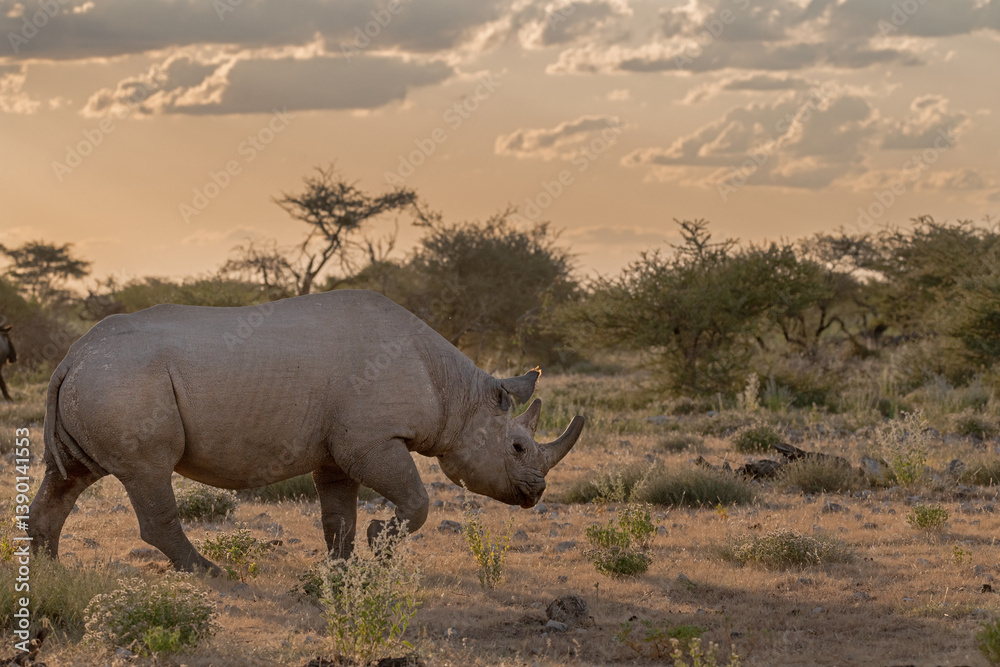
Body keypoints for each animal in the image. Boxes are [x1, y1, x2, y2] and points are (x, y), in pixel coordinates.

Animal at [29, 290, 584, 573]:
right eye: (517, 446)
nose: (537, 492)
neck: (457, 395)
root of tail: (72, 357)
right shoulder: (372, 440)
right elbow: (417, 500)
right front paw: (381, 543)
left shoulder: (340, 450)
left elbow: (338, 515)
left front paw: (340, 568)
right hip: (123, 380)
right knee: (147, 472)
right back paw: (211, 573)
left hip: (100, 380)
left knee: (69, 477)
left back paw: (50, 574)